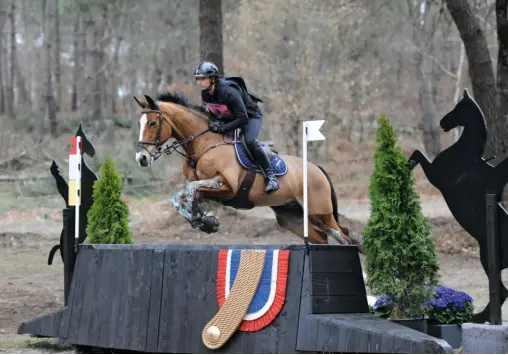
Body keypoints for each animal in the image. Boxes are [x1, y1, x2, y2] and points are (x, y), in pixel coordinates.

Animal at [132, 92, 358, 249]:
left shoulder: (226, 186)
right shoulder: (209, 191)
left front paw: (203, 220)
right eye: (140, 124)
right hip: (292, 218)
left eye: (153, 123)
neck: (204, 145)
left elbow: (190, 190)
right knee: (323, 239)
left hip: (320, 213)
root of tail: (317, 169)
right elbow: (181, 196)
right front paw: (204, 221)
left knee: (345, 237)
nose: (141, 158)